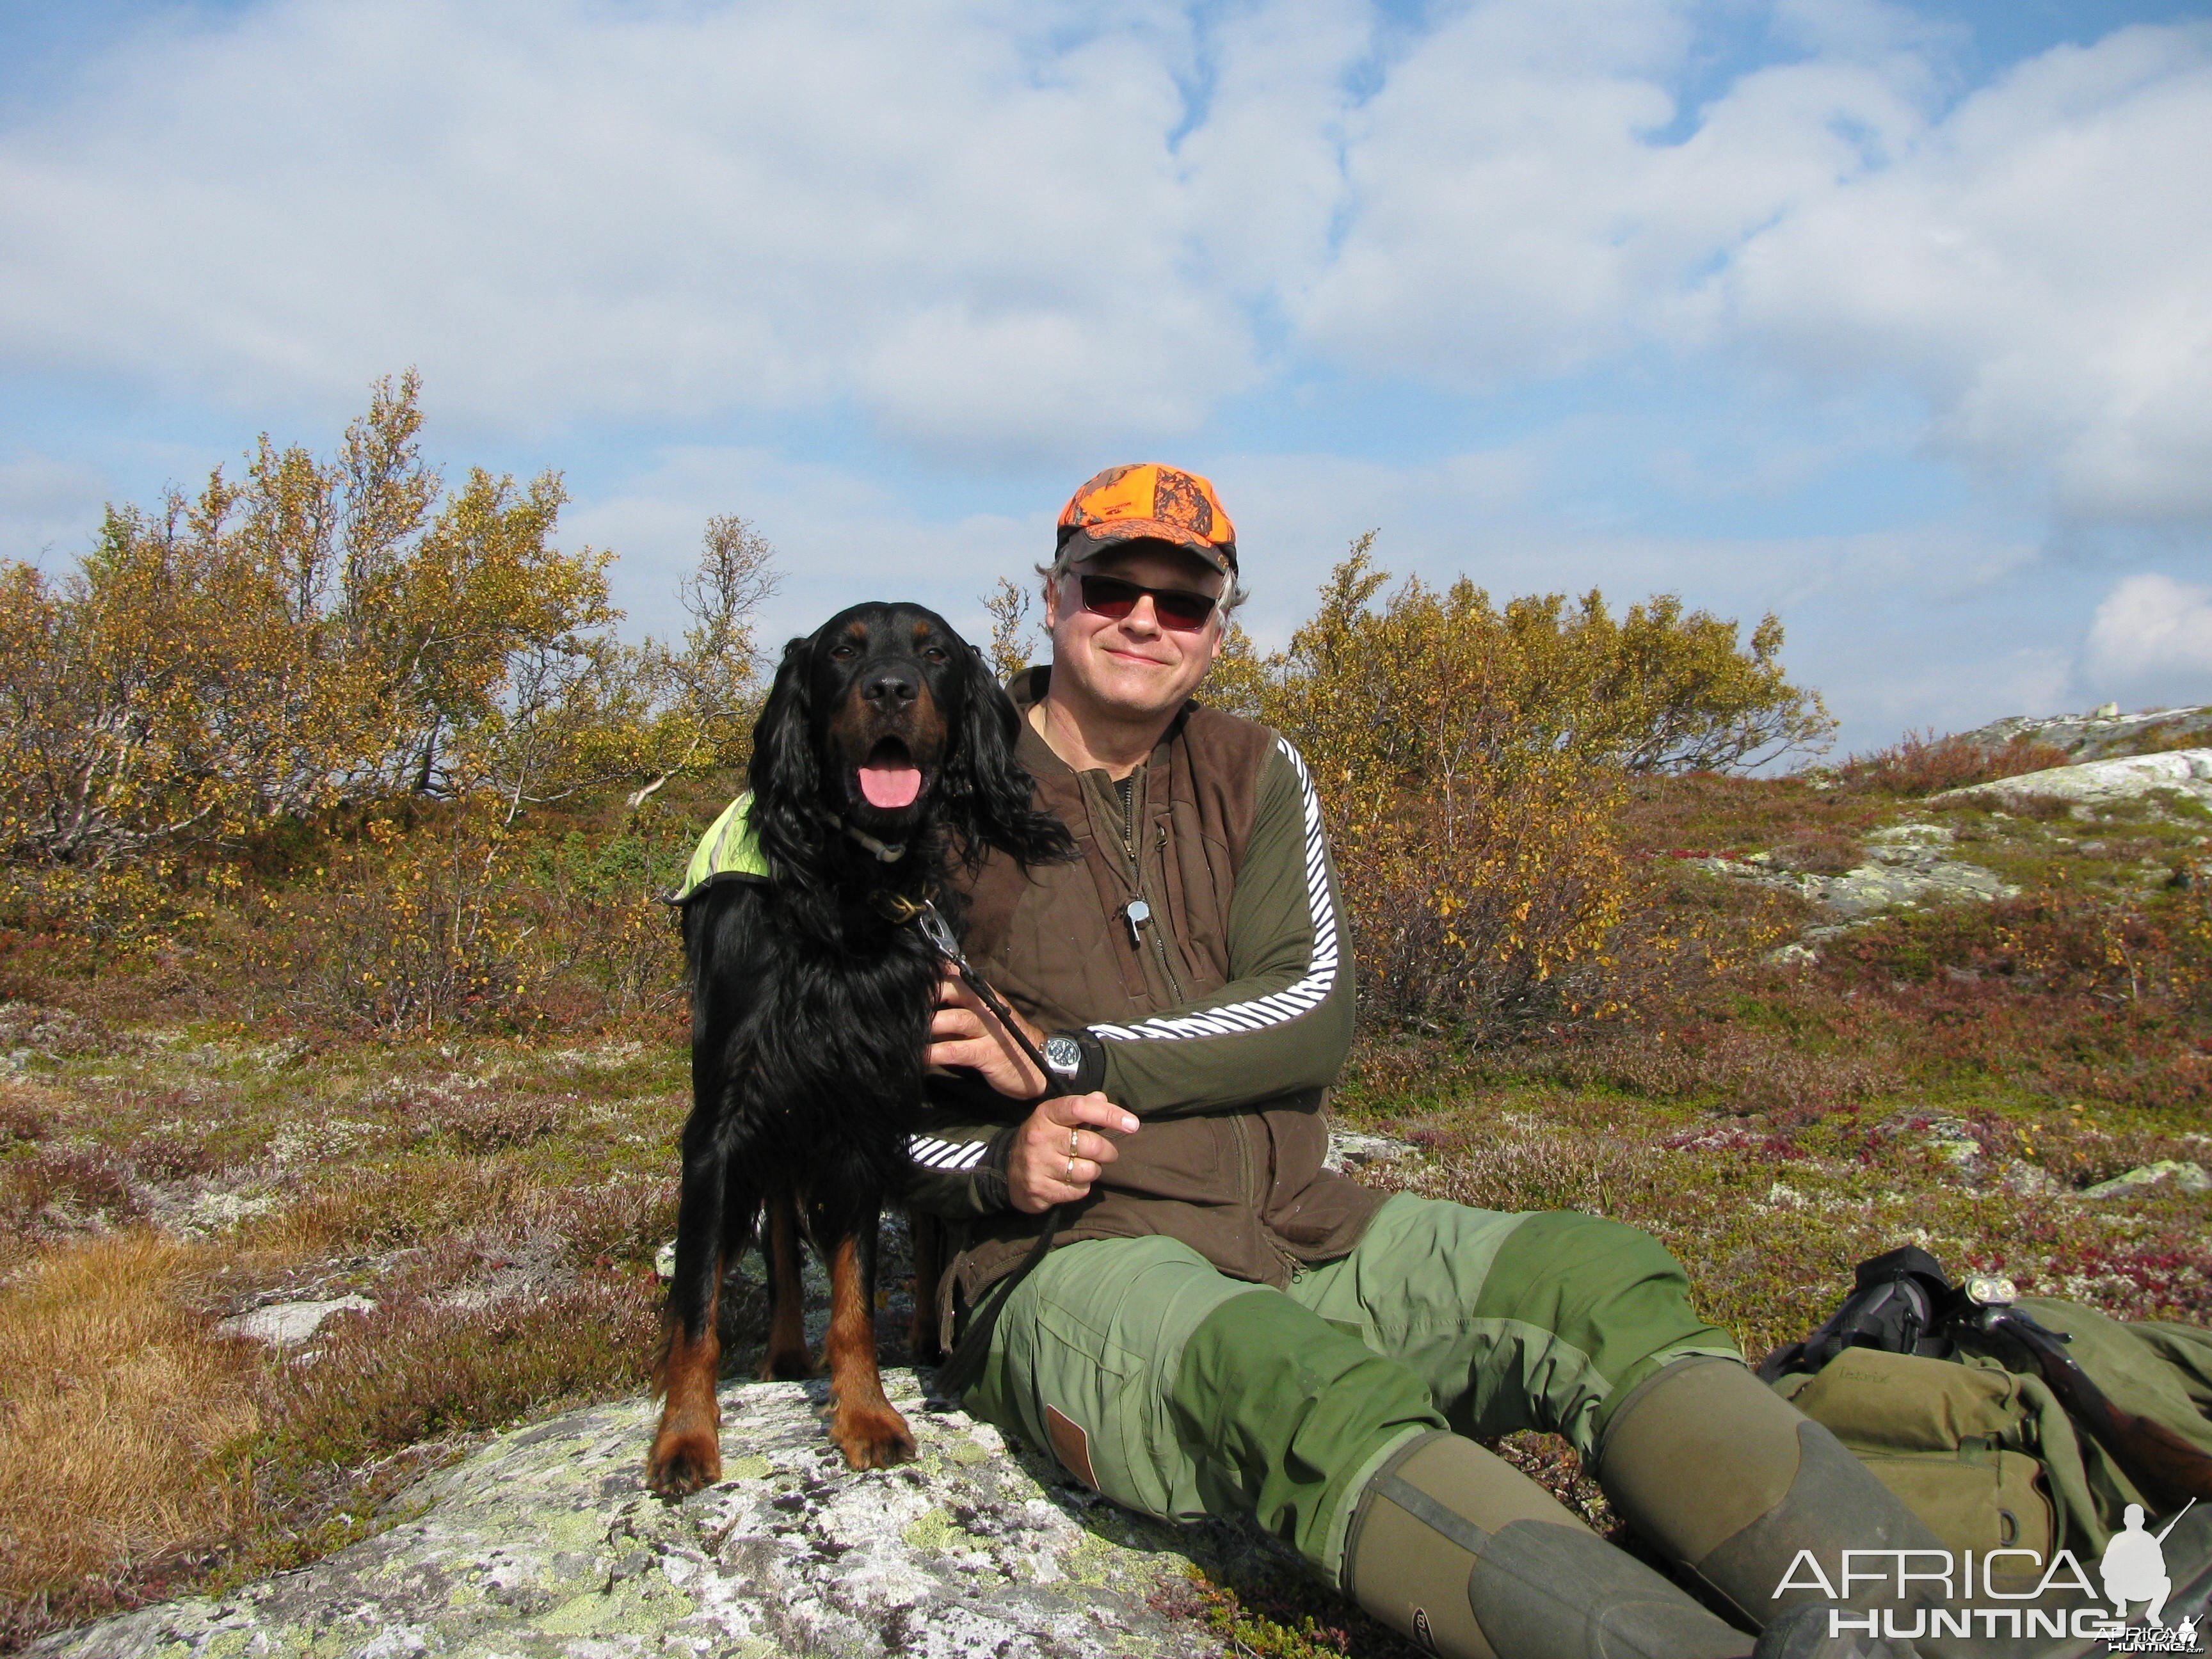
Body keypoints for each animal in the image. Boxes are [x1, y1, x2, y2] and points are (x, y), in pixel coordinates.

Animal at [646, 605, 1066, 1504]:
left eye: (935, 652)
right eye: (843, 650)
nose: (892, 689)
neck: (846, 889)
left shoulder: (861, 1110)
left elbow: (853, 1296)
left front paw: (867, 1413)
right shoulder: (723, 1125)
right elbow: (696, 1303)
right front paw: (685, 1435)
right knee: (768, 1239)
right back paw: (779, 1354)